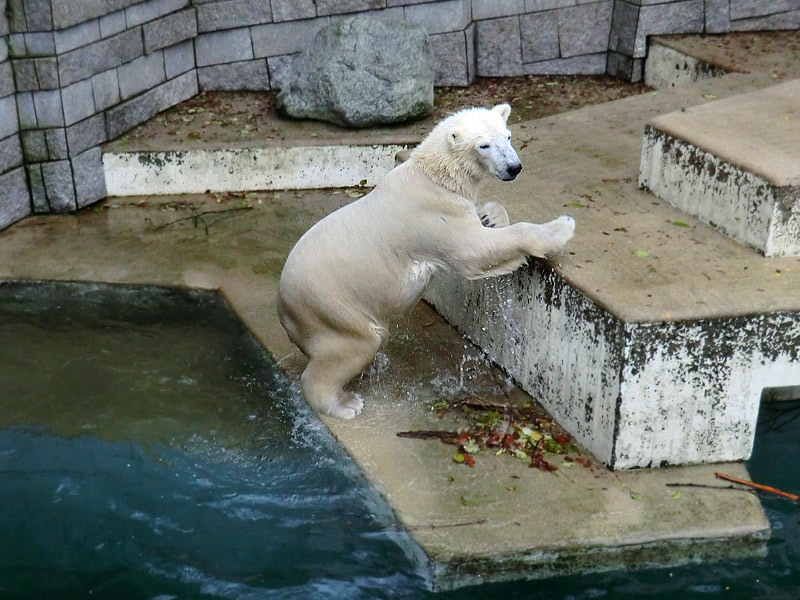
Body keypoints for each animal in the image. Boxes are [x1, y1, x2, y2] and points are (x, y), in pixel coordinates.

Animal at [276, 104, 576, 418]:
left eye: (508, 136)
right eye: (484, 145)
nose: (514, 167)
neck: (434, 173)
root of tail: (284, 308)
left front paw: (490, 216)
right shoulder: (433, 210)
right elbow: (474, 250)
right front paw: (561, 227)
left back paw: (376, 363)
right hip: (330, 306)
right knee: (352, 346)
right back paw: (345, 403)